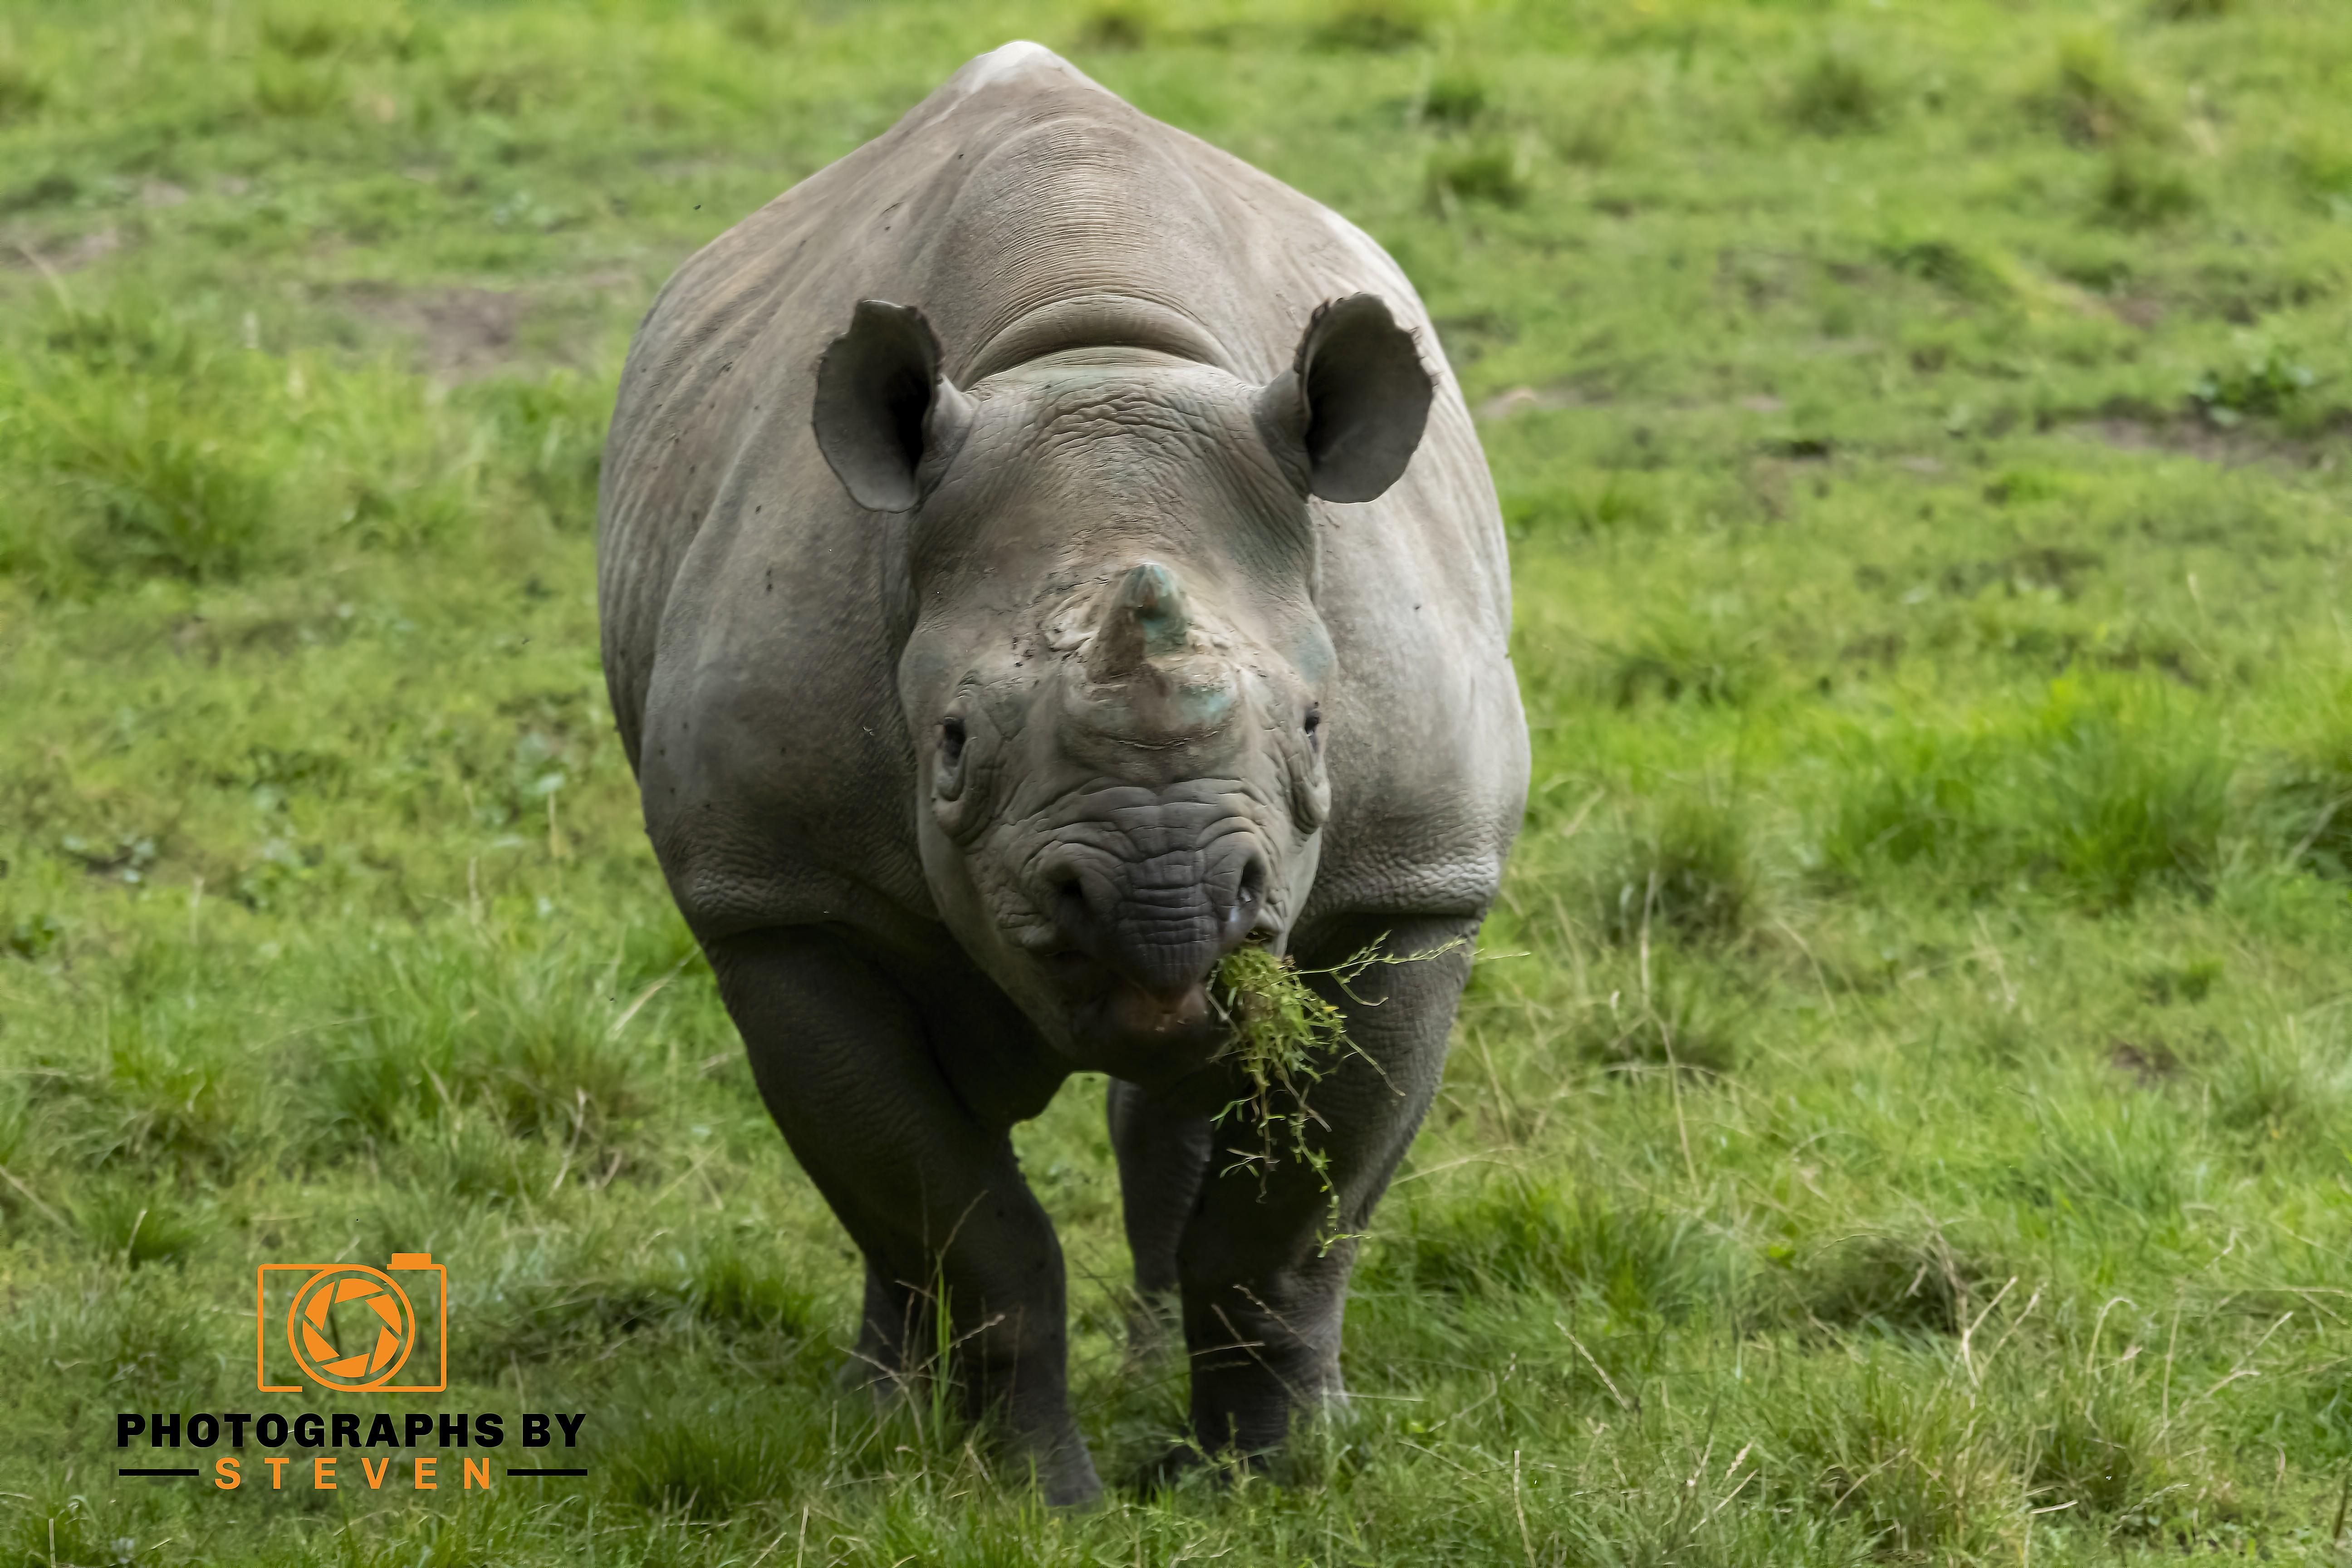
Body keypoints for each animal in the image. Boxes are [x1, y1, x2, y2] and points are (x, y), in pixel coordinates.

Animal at [597, 41, 1527, 1504]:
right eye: (952, 746)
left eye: (1319, 725)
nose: (1166, 898)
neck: (1098, 359)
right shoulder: (775, 898)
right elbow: (956, 1214)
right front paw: (1036, 1495)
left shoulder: (1416, 883)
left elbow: (1284, 1229)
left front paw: (1269, 1479)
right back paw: (878, 1417)